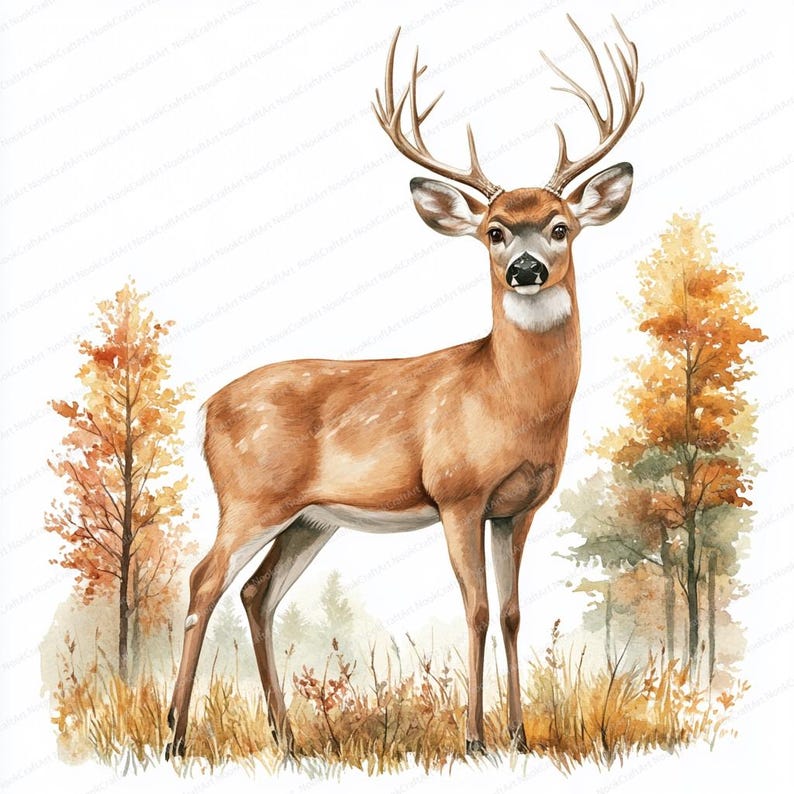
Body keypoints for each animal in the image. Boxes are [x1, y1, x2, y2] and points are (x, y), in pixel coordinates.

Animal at [166, 15, 643, 759]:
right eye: (494, 231)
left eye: (560, 226)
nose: (526, 269)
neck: (509, 402)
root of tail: (205, 409)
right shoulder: (456, 494)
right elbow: (476, 609)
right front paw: (475, 739)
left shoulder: (518, 507)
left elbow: (512, 612)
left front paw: (519, 735)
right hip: (250, 497)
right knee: (204, 580)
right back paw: (176, 738)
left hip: (310, 518)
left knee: (257, 593)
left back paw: (286, 739)